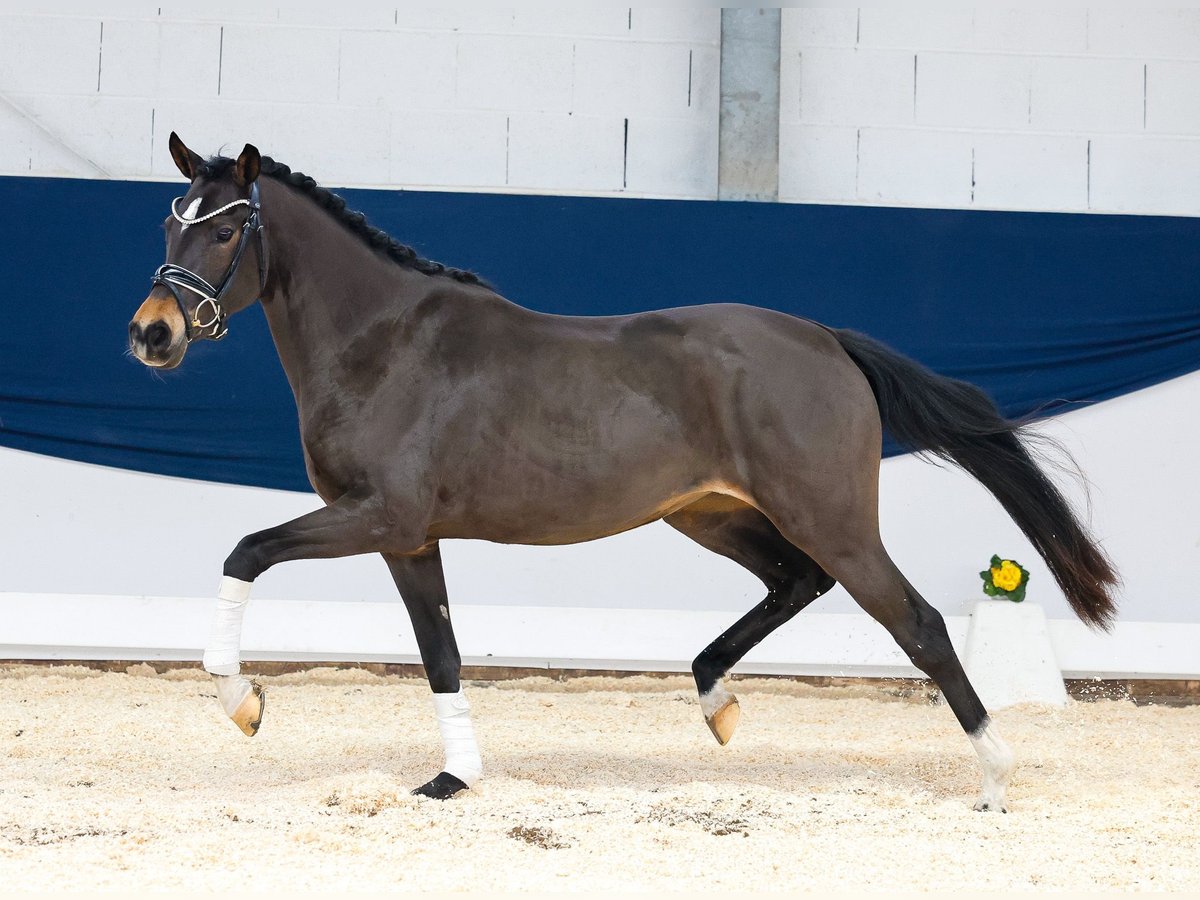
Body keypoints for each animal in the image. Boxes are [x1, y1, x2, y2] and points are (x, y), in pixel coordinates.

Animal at [129, 135, 1113, 811]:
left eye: (229, 227)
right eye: (171, 219)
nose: (152, 334)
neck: (385, 343)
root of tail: (827, 340)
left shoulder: (377, 517)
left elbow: (245, 551)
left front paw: (243, 702)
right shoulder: (408, 539)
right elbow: (441, 653)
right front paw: (453, 777)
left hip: (826, 515)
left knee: (918, 623)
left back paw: (994, 777)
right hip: (709, 513)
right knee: (797, 581)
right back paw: (717, 701)